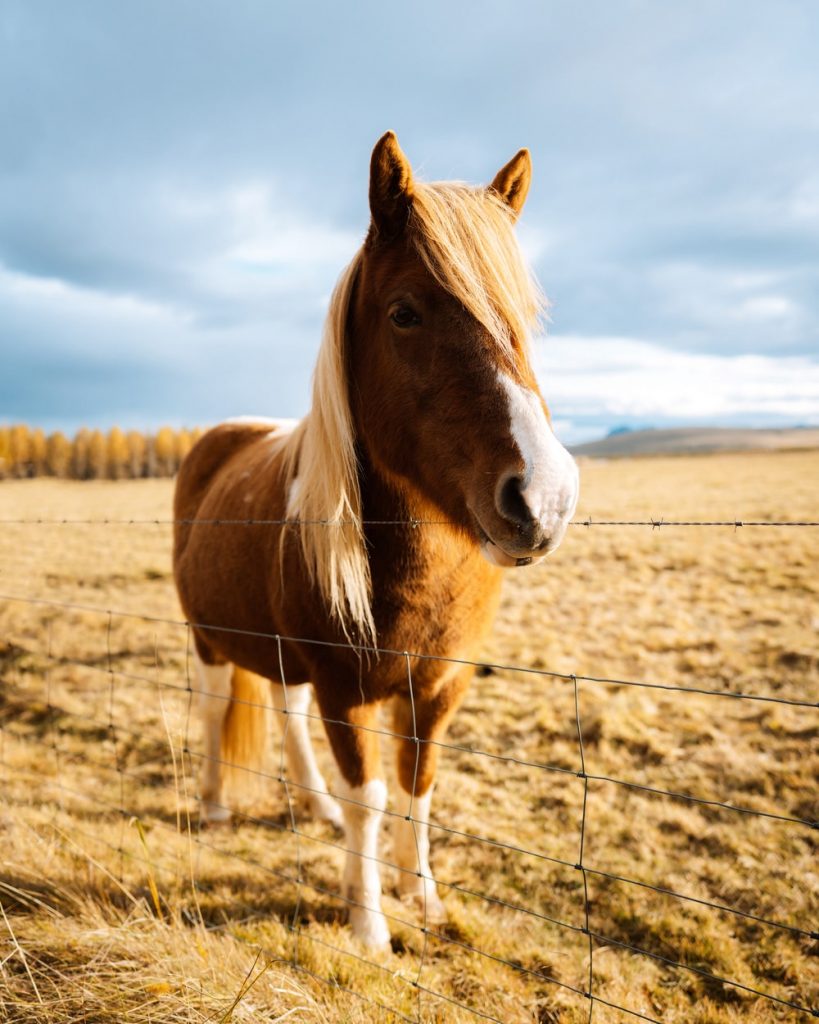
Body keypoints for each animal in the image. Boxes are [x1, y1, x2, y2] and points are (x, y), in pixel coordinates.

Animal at [173, 132, 577, 946]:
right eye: (404, 313)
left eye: (524, 313)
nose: (544, 497)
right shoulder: (346, 688)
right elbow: (372, 798)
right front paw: (368, 925)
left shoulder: (439, 687)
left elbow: (416, 787)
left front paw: (420, 895)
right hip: (209, 637)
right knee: (213, 707)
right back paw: (216, 804)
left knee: (288, 716)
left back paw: (313, 804)